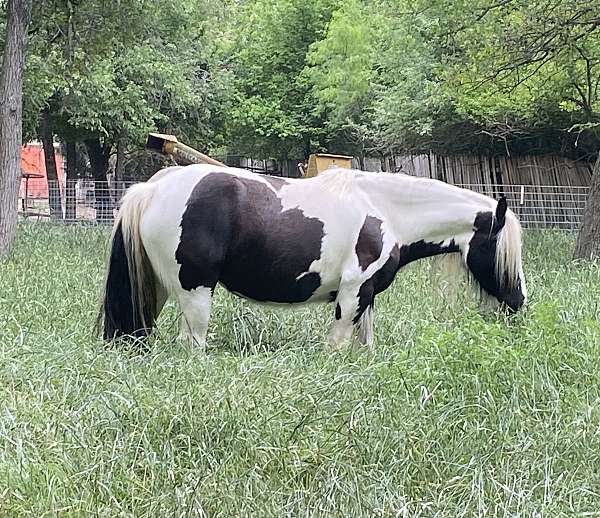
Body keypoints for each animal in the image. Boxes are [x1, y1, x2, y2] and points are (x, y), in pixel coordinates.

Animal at [98, 166, 524, 354]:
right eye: (501, 252)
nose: (519, 302)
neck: (385, 211)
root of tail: (150, 189)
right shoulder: (351, 294)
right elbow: (335, 347)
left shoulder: (366, 295)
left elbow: (364, 345)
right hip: (195, 293)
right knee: (192, 345)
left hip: (159, 288)